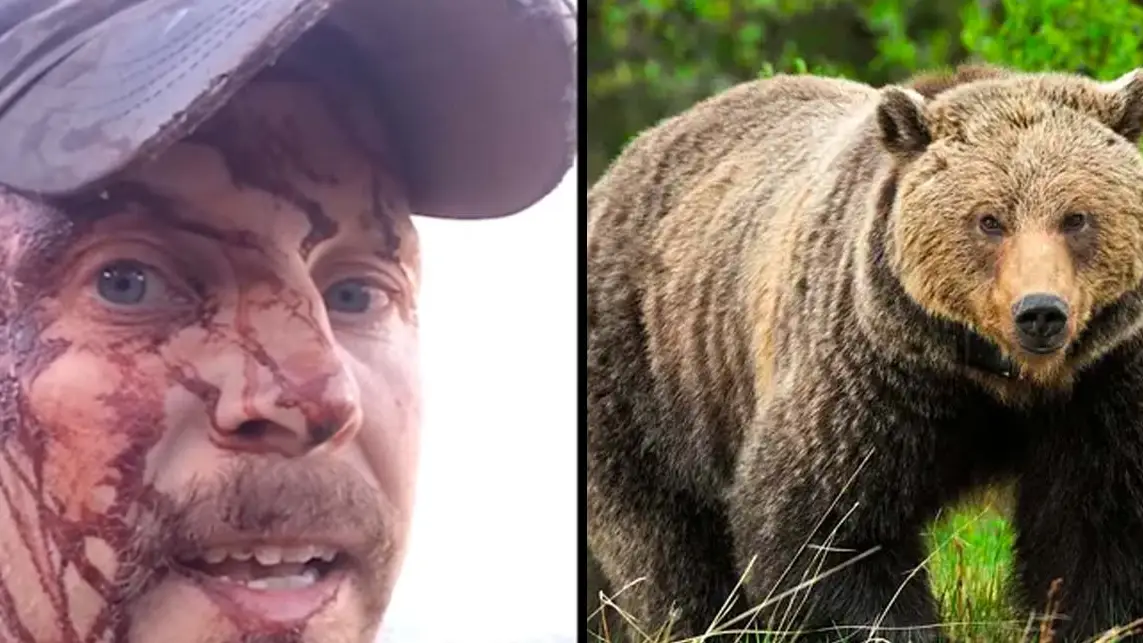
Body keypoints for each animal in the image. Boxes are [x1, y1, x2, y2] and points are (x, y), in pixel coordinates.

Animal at [586, 63, 1143, 643]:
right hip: (652, 374)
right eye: (990, 220)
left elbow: (1096, 524)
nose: (1040, 312)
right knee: (665, 536)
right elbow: (829, 524)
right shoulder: (874, 370)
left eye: (1076, 217)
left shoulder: (1099, 384)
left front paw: (1095, 622)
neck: (999, 379)